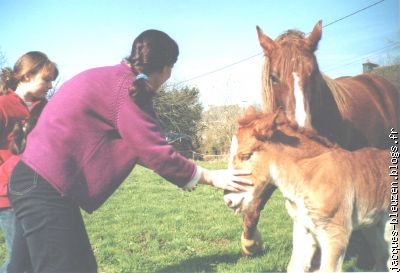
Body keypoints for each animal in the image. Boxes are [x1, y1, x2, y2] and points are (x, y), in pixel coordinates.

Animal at [225, 108, 394, 270]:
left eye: (245, 155)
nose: (228, 200)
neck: (309, 176)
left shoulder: (336, 234)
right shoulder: (303, 228)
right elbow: (295, 266)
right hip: (372, 225)